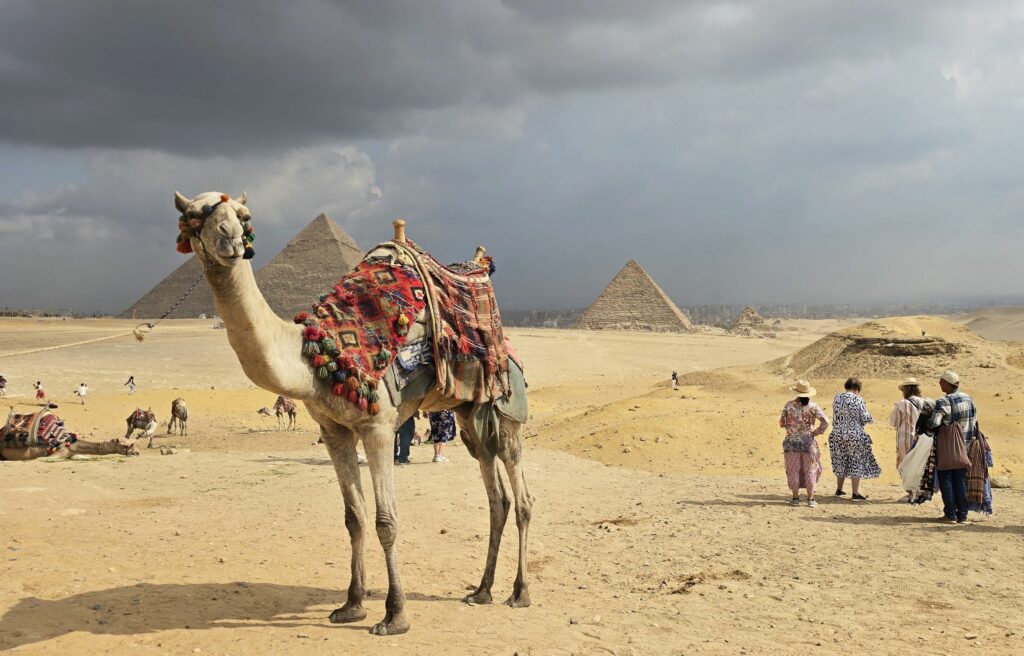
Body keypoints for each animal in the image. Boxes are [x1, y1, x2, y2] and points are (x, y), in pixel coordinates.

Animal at [172, 190, 532, 634]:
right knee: (496, 496)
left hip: (507, 411)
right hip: (470, 415)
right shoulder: (334, 430)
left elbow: (385, 521)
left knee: (522, 498)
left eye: (243, 216)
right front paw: (352, 604)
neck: (314, 357)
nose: (230, 240)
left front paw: (395, 615)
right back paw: (482, 590)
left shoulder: (379, 427)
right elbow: (354, 518)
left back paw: (519, 593)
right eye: (193, 216)